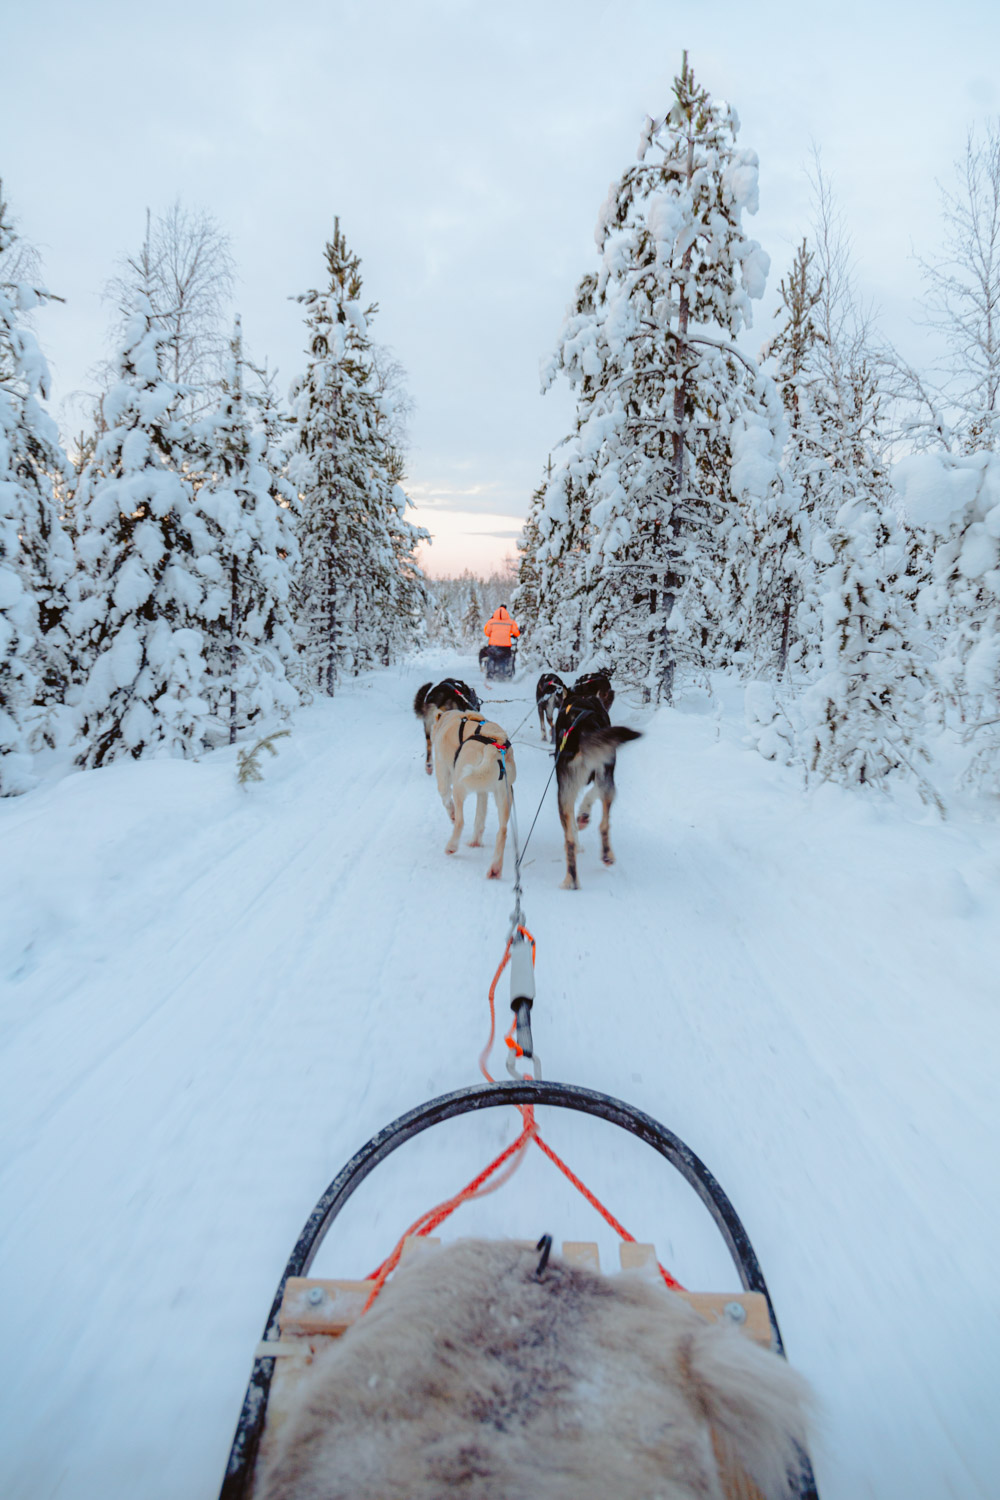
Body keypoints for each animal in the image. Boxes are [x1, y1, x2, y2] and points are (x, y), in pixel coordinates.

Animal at [434, 705, 521, 876]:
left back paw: (451, 846)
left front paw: (451, 814)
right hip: (504, 795)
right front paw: (476, 840)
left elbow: (445, 799)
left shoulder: (443, 772)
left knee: (460, 821)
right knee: (502, 831)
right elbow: (480, 818)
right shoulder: (483, 792)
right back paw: (494, 867)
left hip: (460, 785)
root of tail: (493, 747)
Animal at [554, 687, 641, 888]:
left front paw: (582, 817)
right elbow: (591, 795)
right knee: (603, 824)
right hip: (601, 781)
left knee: (571, 839)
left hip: (566, 793)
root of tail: (582, 731)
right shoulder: (603, 776)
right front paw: (584, 816)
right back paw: (604, 856)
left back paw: (571, 879)